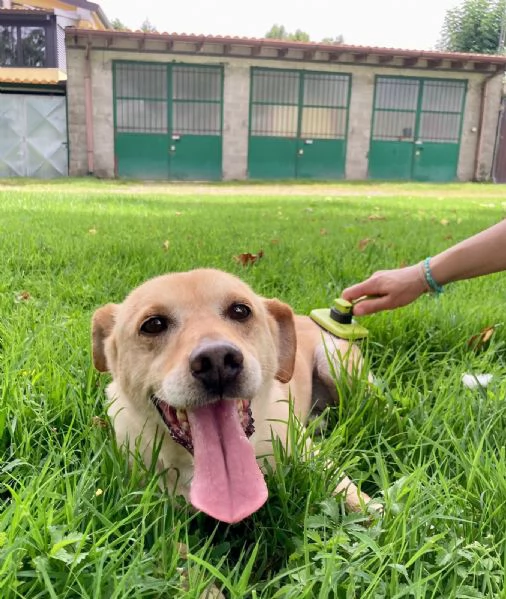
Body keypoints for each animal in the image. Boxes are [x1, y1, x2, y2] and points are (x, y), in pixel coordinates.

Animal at [91, 270, 378, 524]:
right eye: (153, 324)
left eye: (240, 311)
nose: (216, 360)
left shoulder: (305, 448)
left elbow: (342, 483)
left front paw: (375, 510)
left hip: (340, 368)